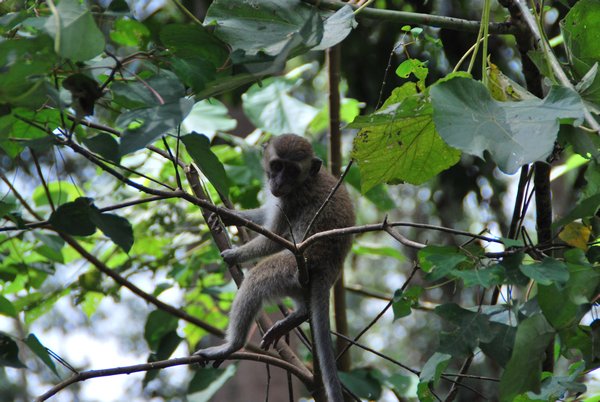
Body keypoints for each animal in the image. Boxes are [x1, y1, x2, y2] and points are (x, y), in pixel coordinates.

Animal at [195, 133, 354, 400]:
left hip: (294, 266)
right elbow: (264, 216)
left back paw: (232, 345)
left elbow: (273, 239)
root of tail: (331, 267)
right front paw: (228, 214)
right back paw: (300, 313)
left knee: (257, 279)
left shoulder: (291, 201)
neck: (304, 181)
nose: (278, 182)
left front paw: (235, 255)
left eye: (292, 170)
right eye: (277, 166)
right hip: (298, 278)